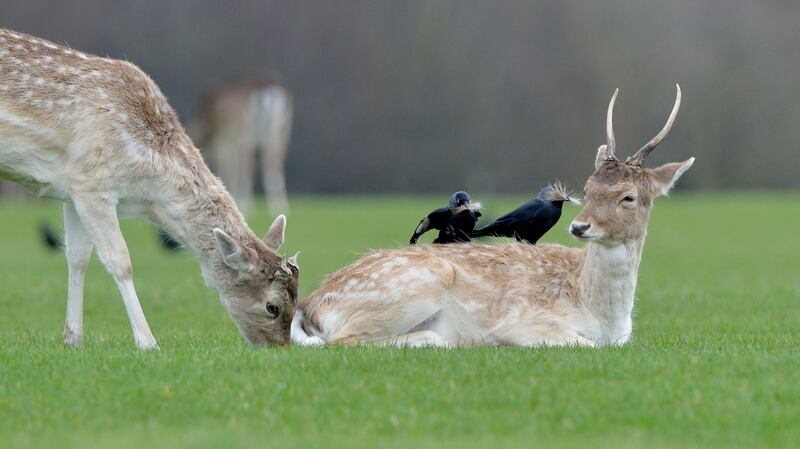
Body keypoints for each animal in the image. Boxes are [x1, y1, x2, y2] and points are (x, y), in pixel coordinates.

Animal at [191, 73, 294, 214]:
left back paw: (246, 205)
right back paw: (278, 206)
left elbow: (228, 165)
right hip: (282, 130)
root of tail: (264, 86)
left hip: (244, 130)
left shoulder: (225, 137)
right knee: (273, 164)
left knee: (249, 165)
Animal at [294, 84, 692, 346]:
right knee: (344, 340)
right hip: (412, 287)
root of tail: (308, 306)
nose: (580, 226)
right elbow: (582, 344)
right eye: (589, 187)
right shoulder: (523, 319)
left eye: (629, 196)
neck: (602, 315)